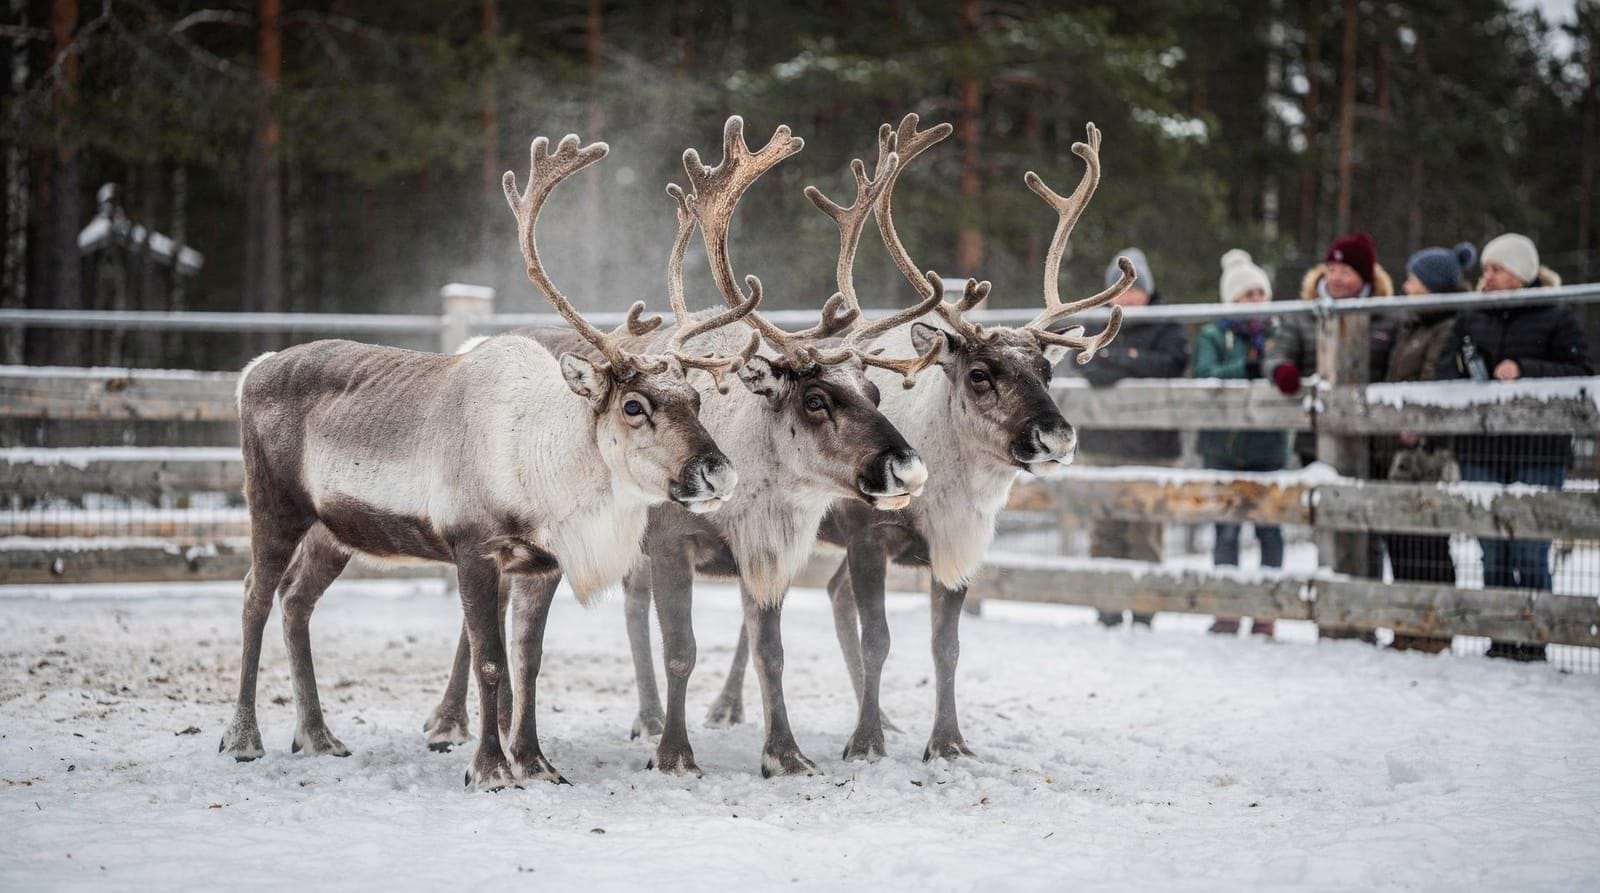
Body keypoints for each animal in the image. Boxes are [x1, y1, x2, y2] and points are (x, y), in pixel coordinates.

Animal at [218, 134, 760, 791]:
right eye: (634, 405)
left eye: (696, 399)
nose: (717, 471)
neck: (540, 470)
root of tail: (250, 371)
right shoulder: (472, 546)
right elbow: (490, 662)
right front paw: (490, 768)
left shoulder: (541, 564)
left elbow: (528, 662)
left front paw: (536, 762)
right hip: (273, 502)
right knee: (255, 595)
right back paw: (243, 739)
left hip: (334, 530)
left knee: (297, 600)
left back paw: (318, 736)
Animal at [423, 117, 943, 778]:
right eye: (815, 399)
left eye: (874, 390)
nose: (907, 467)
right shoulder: (673, 543)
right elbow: (682, 651)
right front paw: (675, 754)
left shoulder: (762, 552)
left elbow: (771, 652)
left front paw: (784, 754)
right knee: (480, 623)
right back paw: (449, 721)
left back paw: (621, 719)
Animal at [684, 115, 1130, 764]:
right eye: (979, 374)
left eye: (1047, 371)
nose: (1056, 435)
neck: (945, 484)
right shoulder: (869, 536)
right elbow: (880, 638)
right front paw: (864, 742)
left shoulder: (959, 546)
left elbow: (946, 646)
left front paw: (946, 742)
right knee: (777, 609)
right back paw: (730, 707)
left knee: (827, 598)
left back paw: (885, 718)